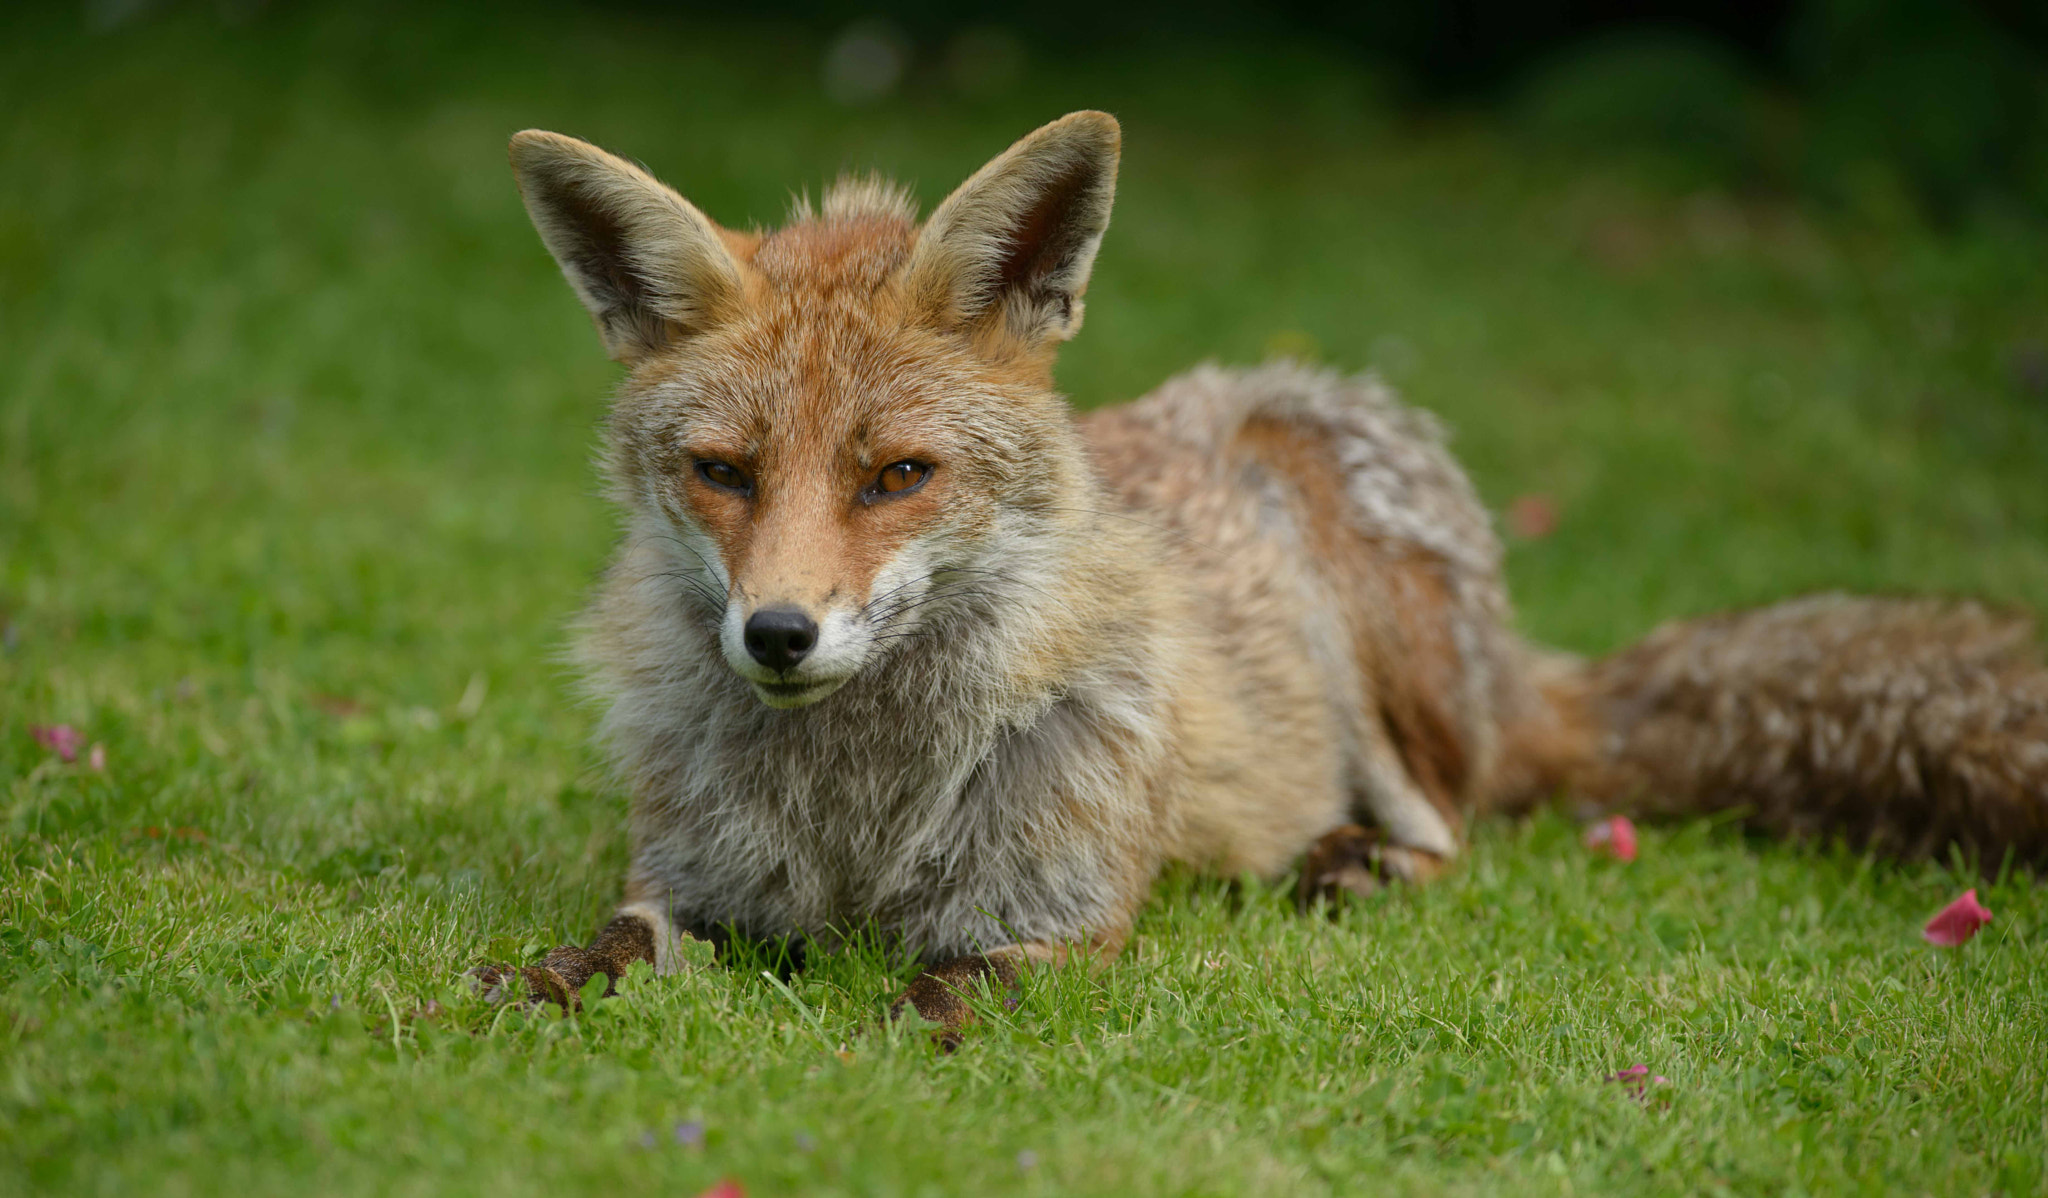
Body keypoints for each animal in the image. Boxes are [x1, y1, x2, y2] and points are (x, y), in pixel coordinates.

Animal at [472, 111, 2048, 1038]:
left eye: (897, 477)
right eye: (723, 473)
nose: (780, 633)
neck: (858, 807)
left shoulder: (1056, 921)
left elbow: (923, 1001)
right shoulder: (693, 887)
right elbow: (601, 946)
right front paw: (508, 1001)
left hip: (1359, 599)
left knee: (1458, 820)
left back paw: (1351, 861)